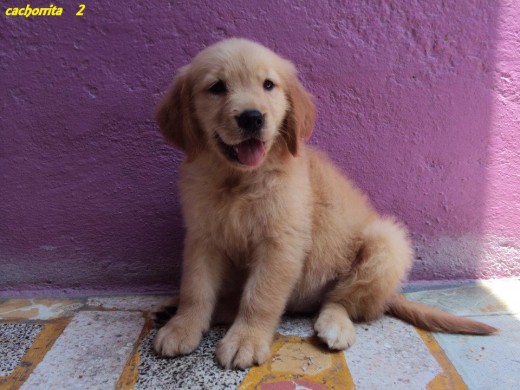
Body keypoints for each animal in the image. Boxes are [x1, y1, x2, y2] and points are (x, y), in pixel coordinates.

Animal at [153, 37, 496, 368]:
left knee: (341, 300)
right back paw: (172, 311)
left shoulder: (281, 243)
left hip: (386, 243)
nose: (252, 118)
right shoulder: (203, 238)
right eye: (217, 87)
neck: (239, 180)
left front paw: (245, 340)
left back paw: (335, 325)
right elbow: (195, 288)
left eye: (268, 85)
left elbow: (260, 296)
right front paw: (183, 326)